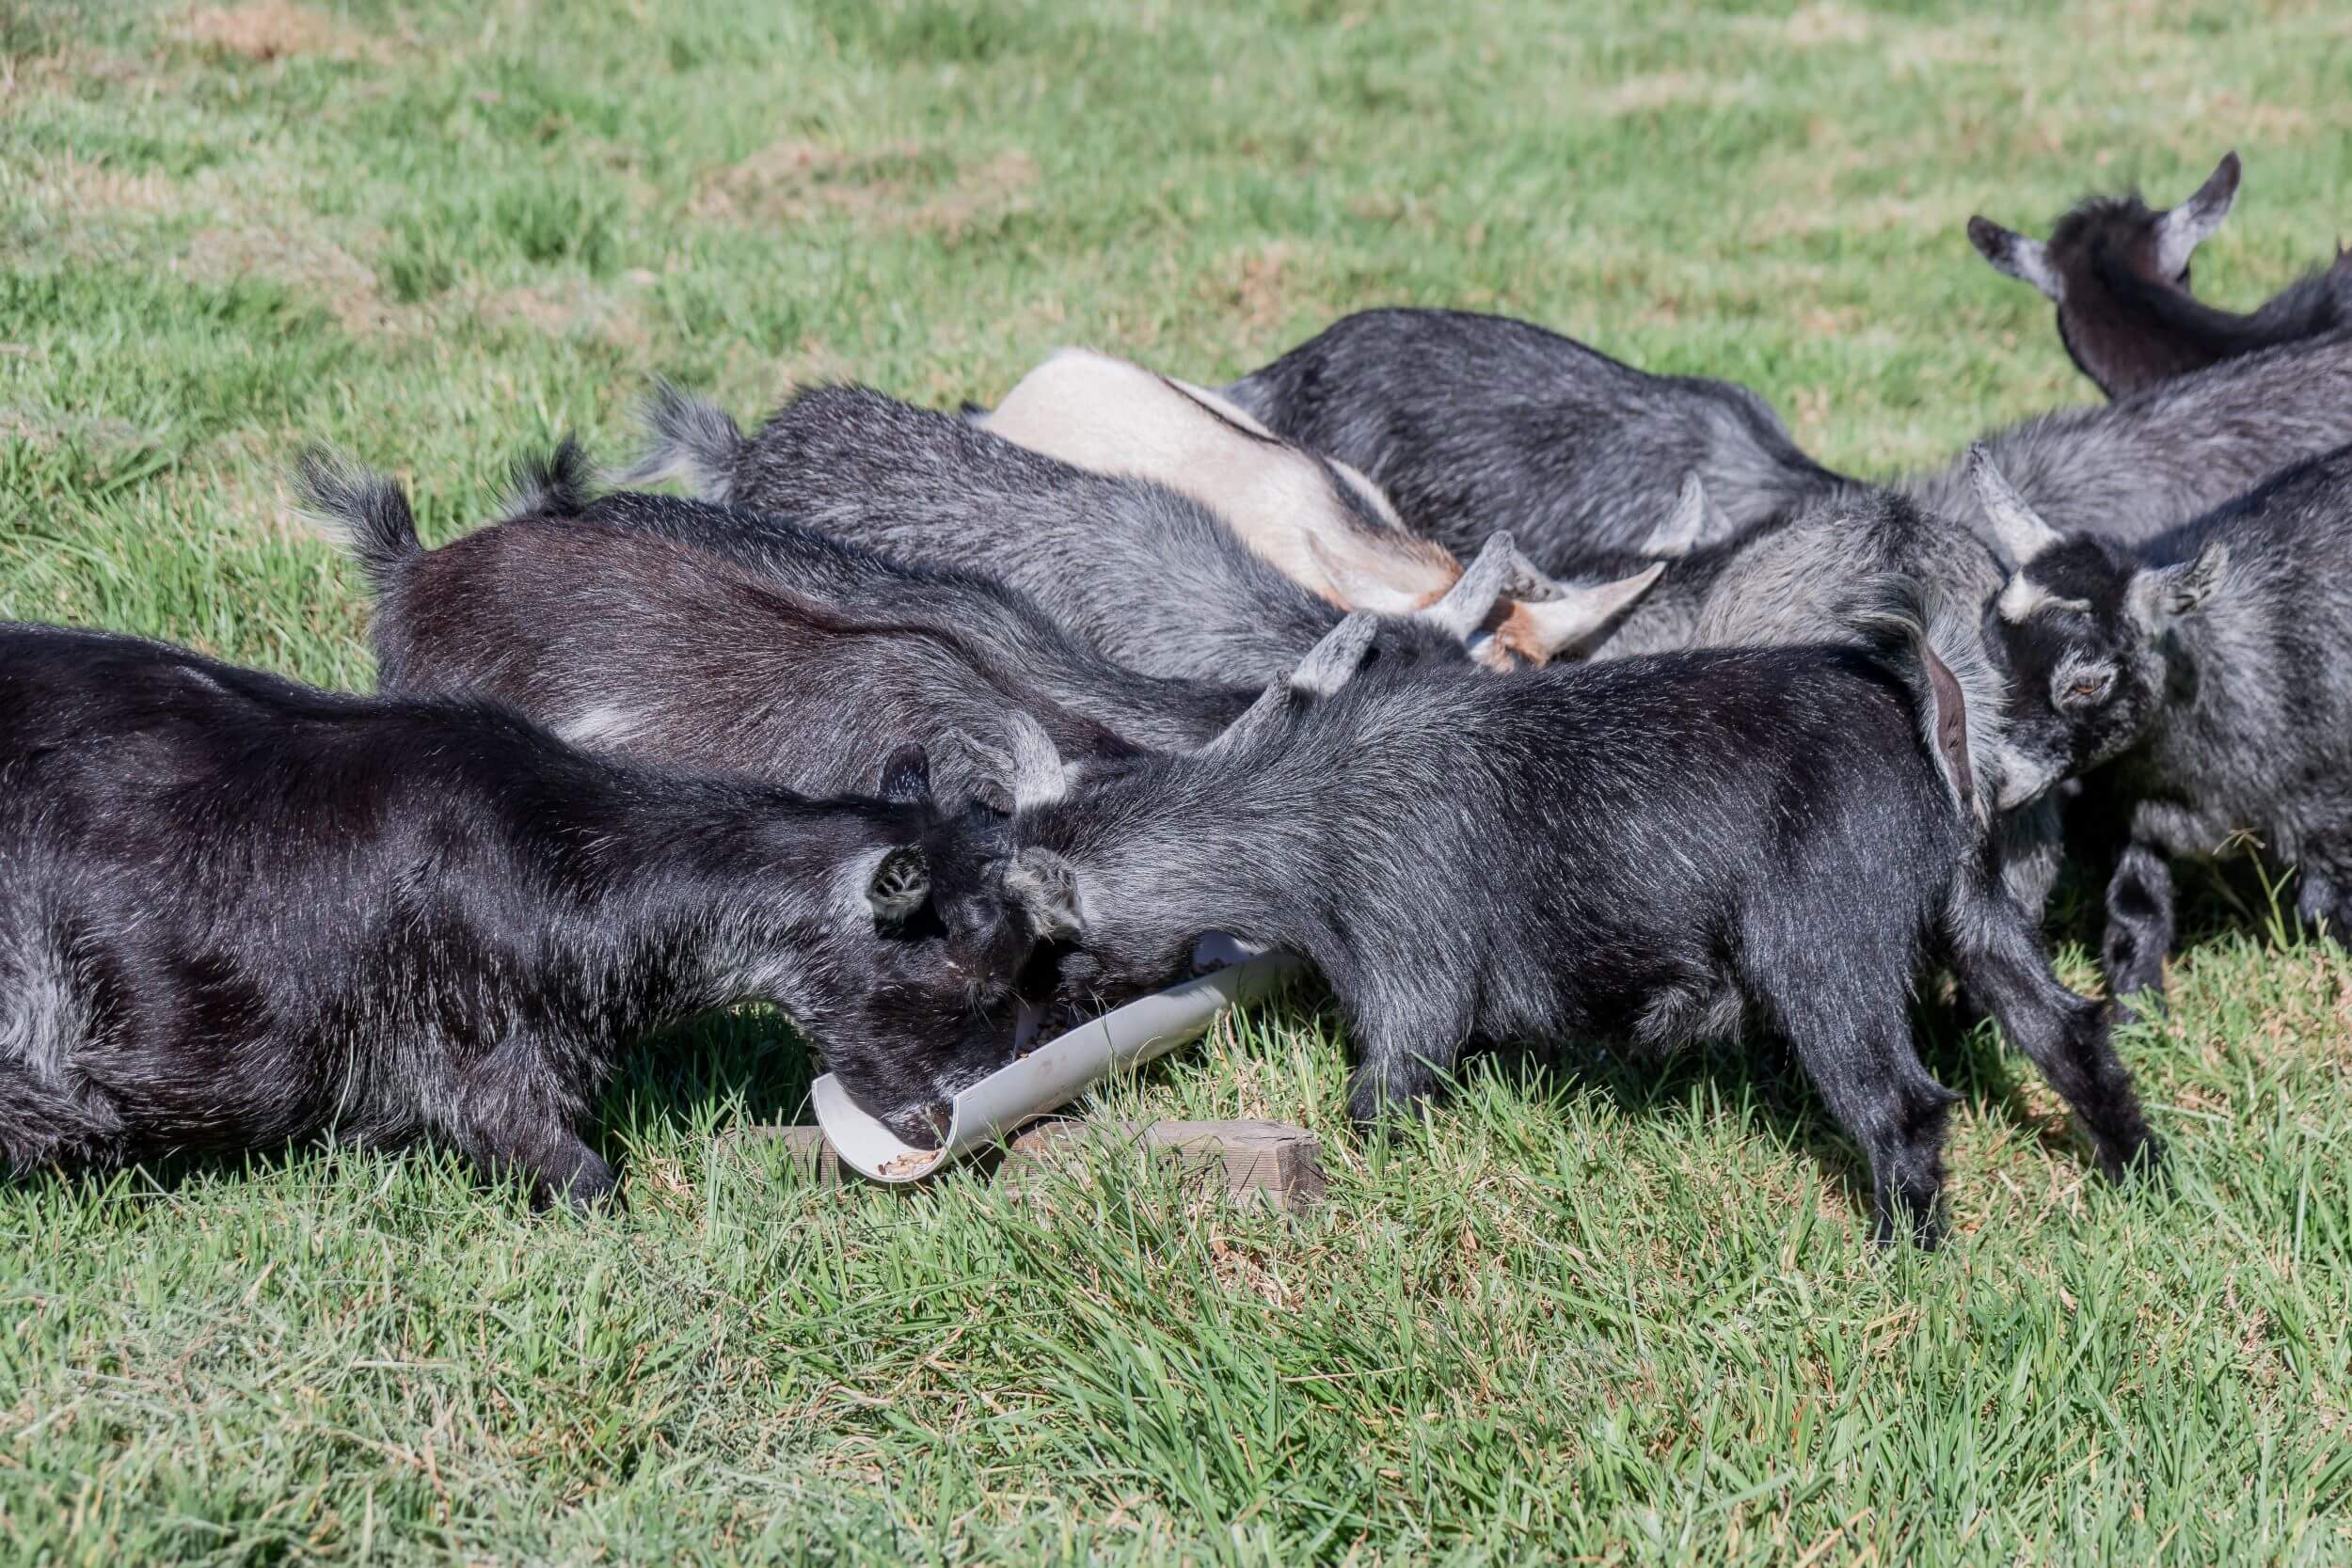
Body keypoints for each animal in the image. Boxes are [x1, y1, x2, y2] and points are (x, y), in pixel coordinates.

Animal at [993, 602, 2157, 1247]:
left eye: (1038, 946)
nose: (1028, 1021)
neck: (1306, 804)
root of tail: (1929, 732)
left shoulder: (1409, 969)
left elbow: (1383, 1091)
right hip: (1977, 917)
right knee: (2069, 1034)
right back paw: (2138, 1175)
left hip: (1822, 955)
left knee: (1902, 1104)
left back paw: (1899, 1255)